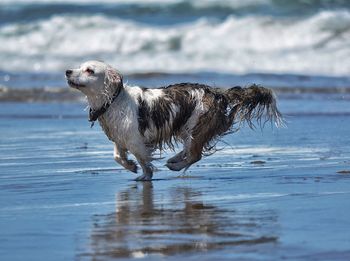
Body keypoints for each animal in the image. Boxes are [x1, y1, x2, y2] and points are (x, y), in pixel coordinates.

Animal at [66, 60, 284, 180]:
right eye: (78, 66)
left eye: (89, 70)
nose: (67, 71)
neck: (113, 100)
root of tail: (217, 93)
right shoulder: (120, 139)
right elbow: (118, 157)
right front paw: (131, 167)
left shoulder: (136, 142)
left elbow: (145, 162)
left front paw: (144, 175)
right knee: (190, 152)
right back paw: (175, 159)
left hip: (195, 127)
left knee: (195, 155)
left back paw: (175, 165)